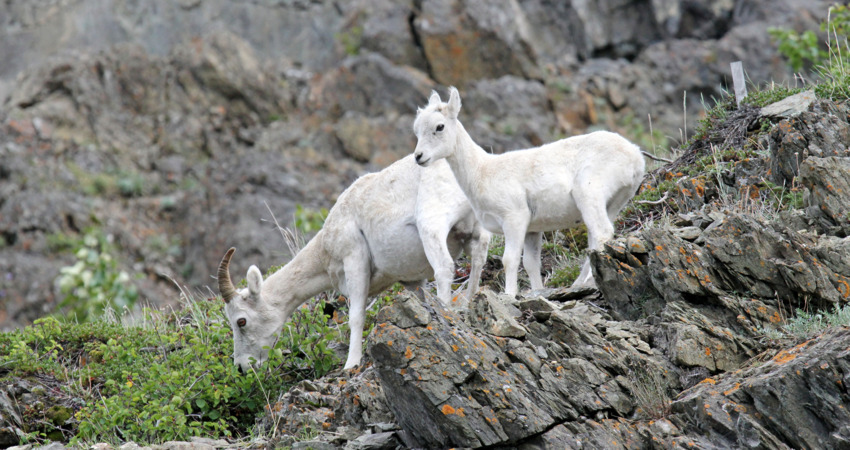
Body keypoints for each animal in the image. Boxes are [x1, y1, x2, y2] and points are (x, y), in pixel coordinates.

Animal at [215, 155, 486, 370]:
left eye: (241, 321)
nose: (242, 368)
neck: (325, 250)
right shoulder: (411, 280)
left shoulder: (355, 260)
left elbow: (356, 317)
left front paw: (351, 364)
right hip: (475, 229)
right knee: (480, 256)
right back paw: (467, 306)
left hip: (433, 228)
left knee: (444, 268)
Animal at [410, 88, 644, 298]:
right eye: (417, 130)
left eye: (439, 127)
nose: (419, 157)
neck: (482, 171)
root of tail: (635, 155)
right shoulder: (533, 229)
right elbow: (530, 263)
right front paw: (537, 291)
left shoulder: (514, 219)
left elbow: (510, 260)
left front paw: (510, 294)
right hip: (613, 204)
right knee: (596, 240)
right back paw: (579, 283)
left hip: (589, 195)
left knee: (602, 234)